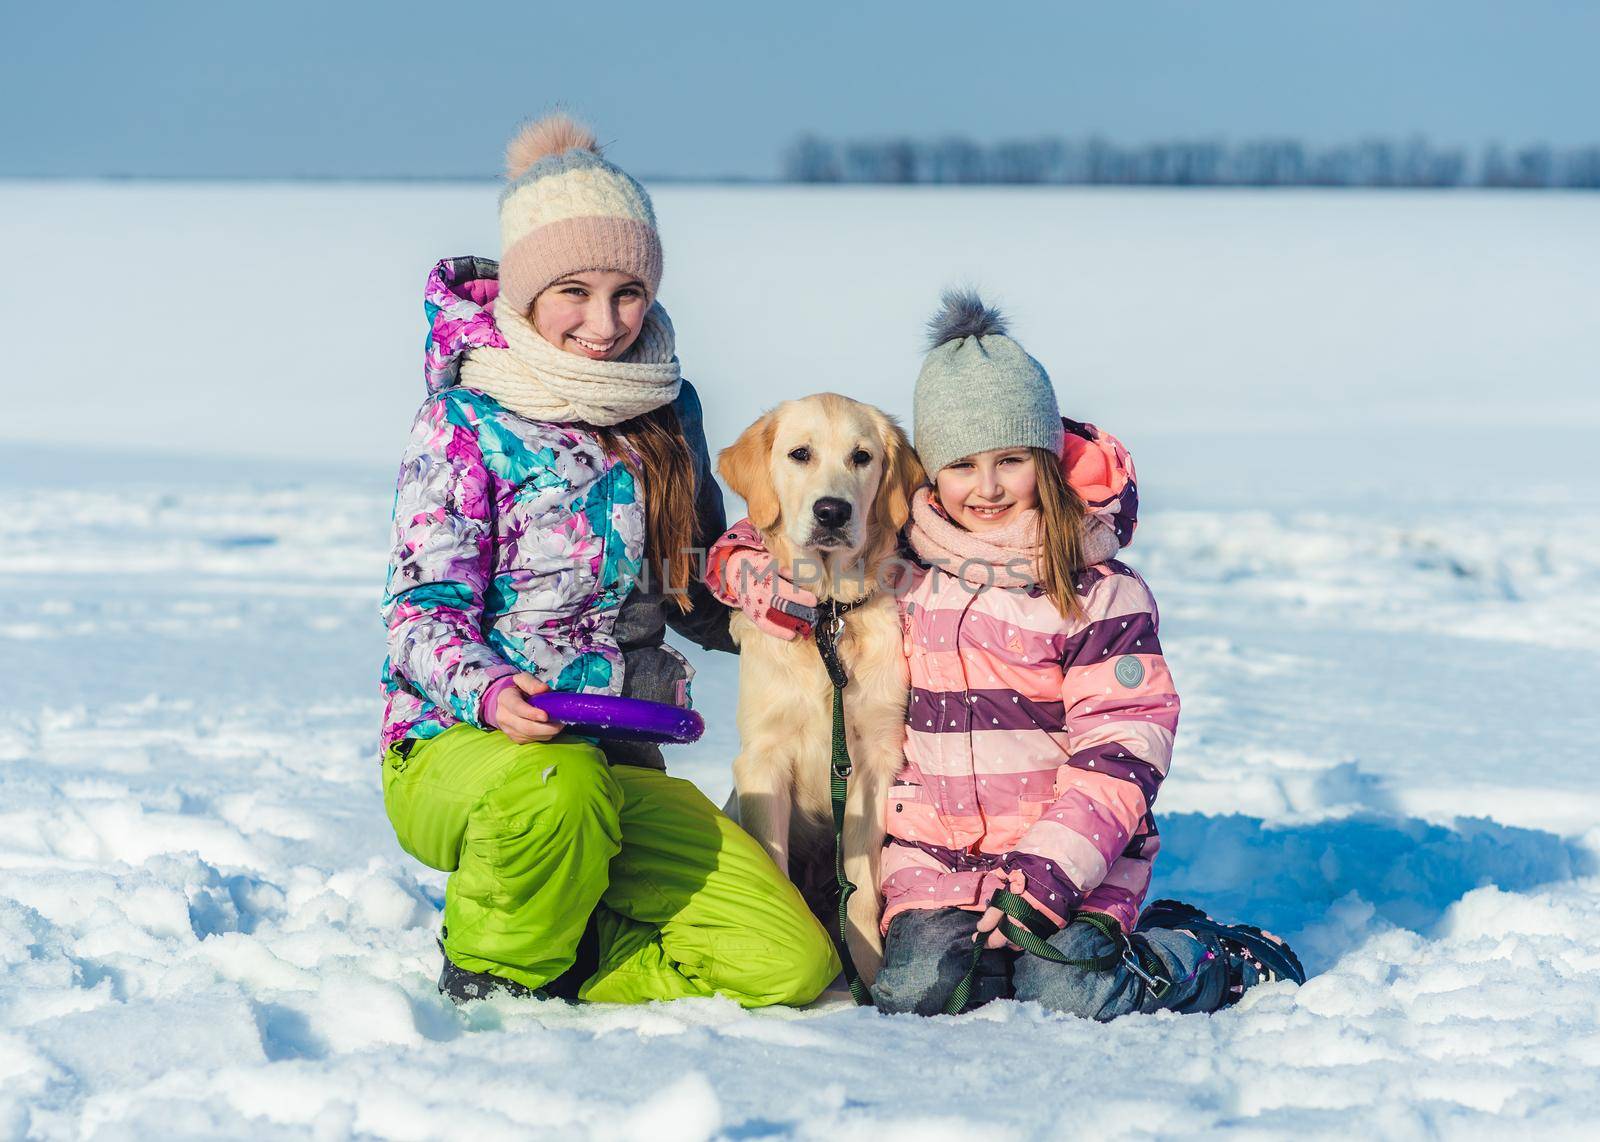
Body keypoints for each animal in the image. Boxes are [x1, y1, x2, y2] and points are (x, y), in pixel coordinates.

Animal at [723, 391, 934, 978]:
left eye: (862, 457)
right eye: (800, 454)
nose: (832, 512)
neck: (828, 616)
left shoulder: (875, 762)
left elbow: (861, 890)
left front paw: (868, 970)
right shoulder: (763, 758)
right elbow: (774, 866)